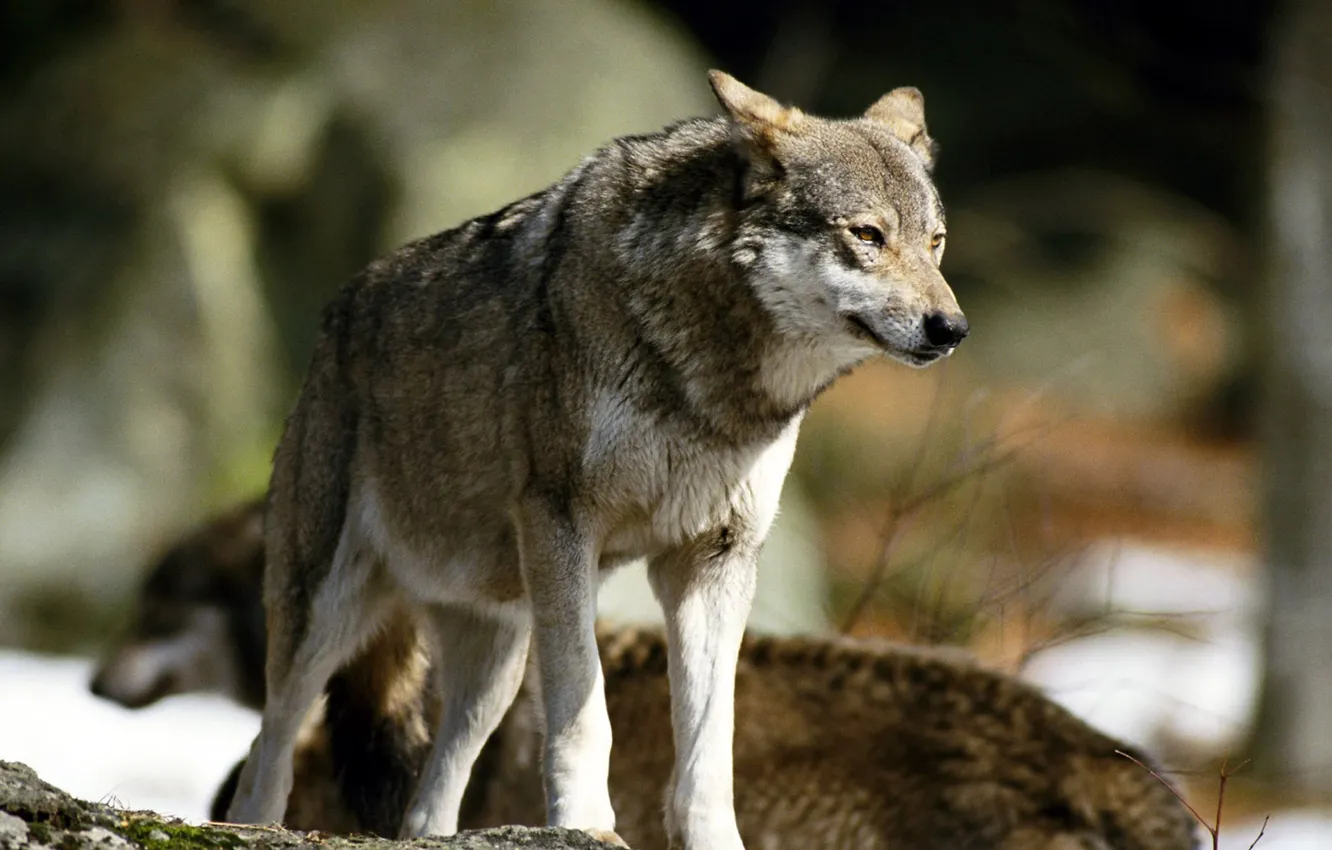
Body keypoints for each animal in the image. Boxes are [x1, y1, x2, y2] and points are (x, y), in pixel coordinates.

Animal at [224, 70, 968, 849]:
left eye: (936, 242)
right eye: (868, 235)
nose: (951, 328)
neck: (711, 382)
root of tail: (333, 317)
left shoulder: (713, 560)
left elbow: (710, 745)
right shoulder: (563, 526)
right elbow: (587, 712)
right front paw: (584, 822)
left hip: (496, 660)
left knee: (431, 794)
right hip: (327, 617)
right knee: (266, 748)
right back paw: (255, 821)